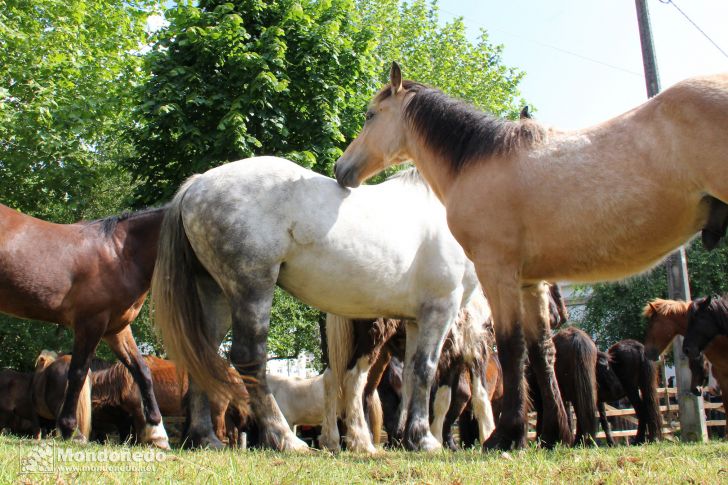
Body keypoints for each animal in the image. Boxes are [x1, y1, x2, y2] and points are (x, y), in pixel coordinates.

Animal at [0, 201, 168, 446]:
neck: (120, 254)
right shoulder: (90, 323)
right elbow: (78, 373)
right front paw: (69, 428)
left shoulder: (116, 329)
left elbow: (141, 370)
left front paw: (156, 430)